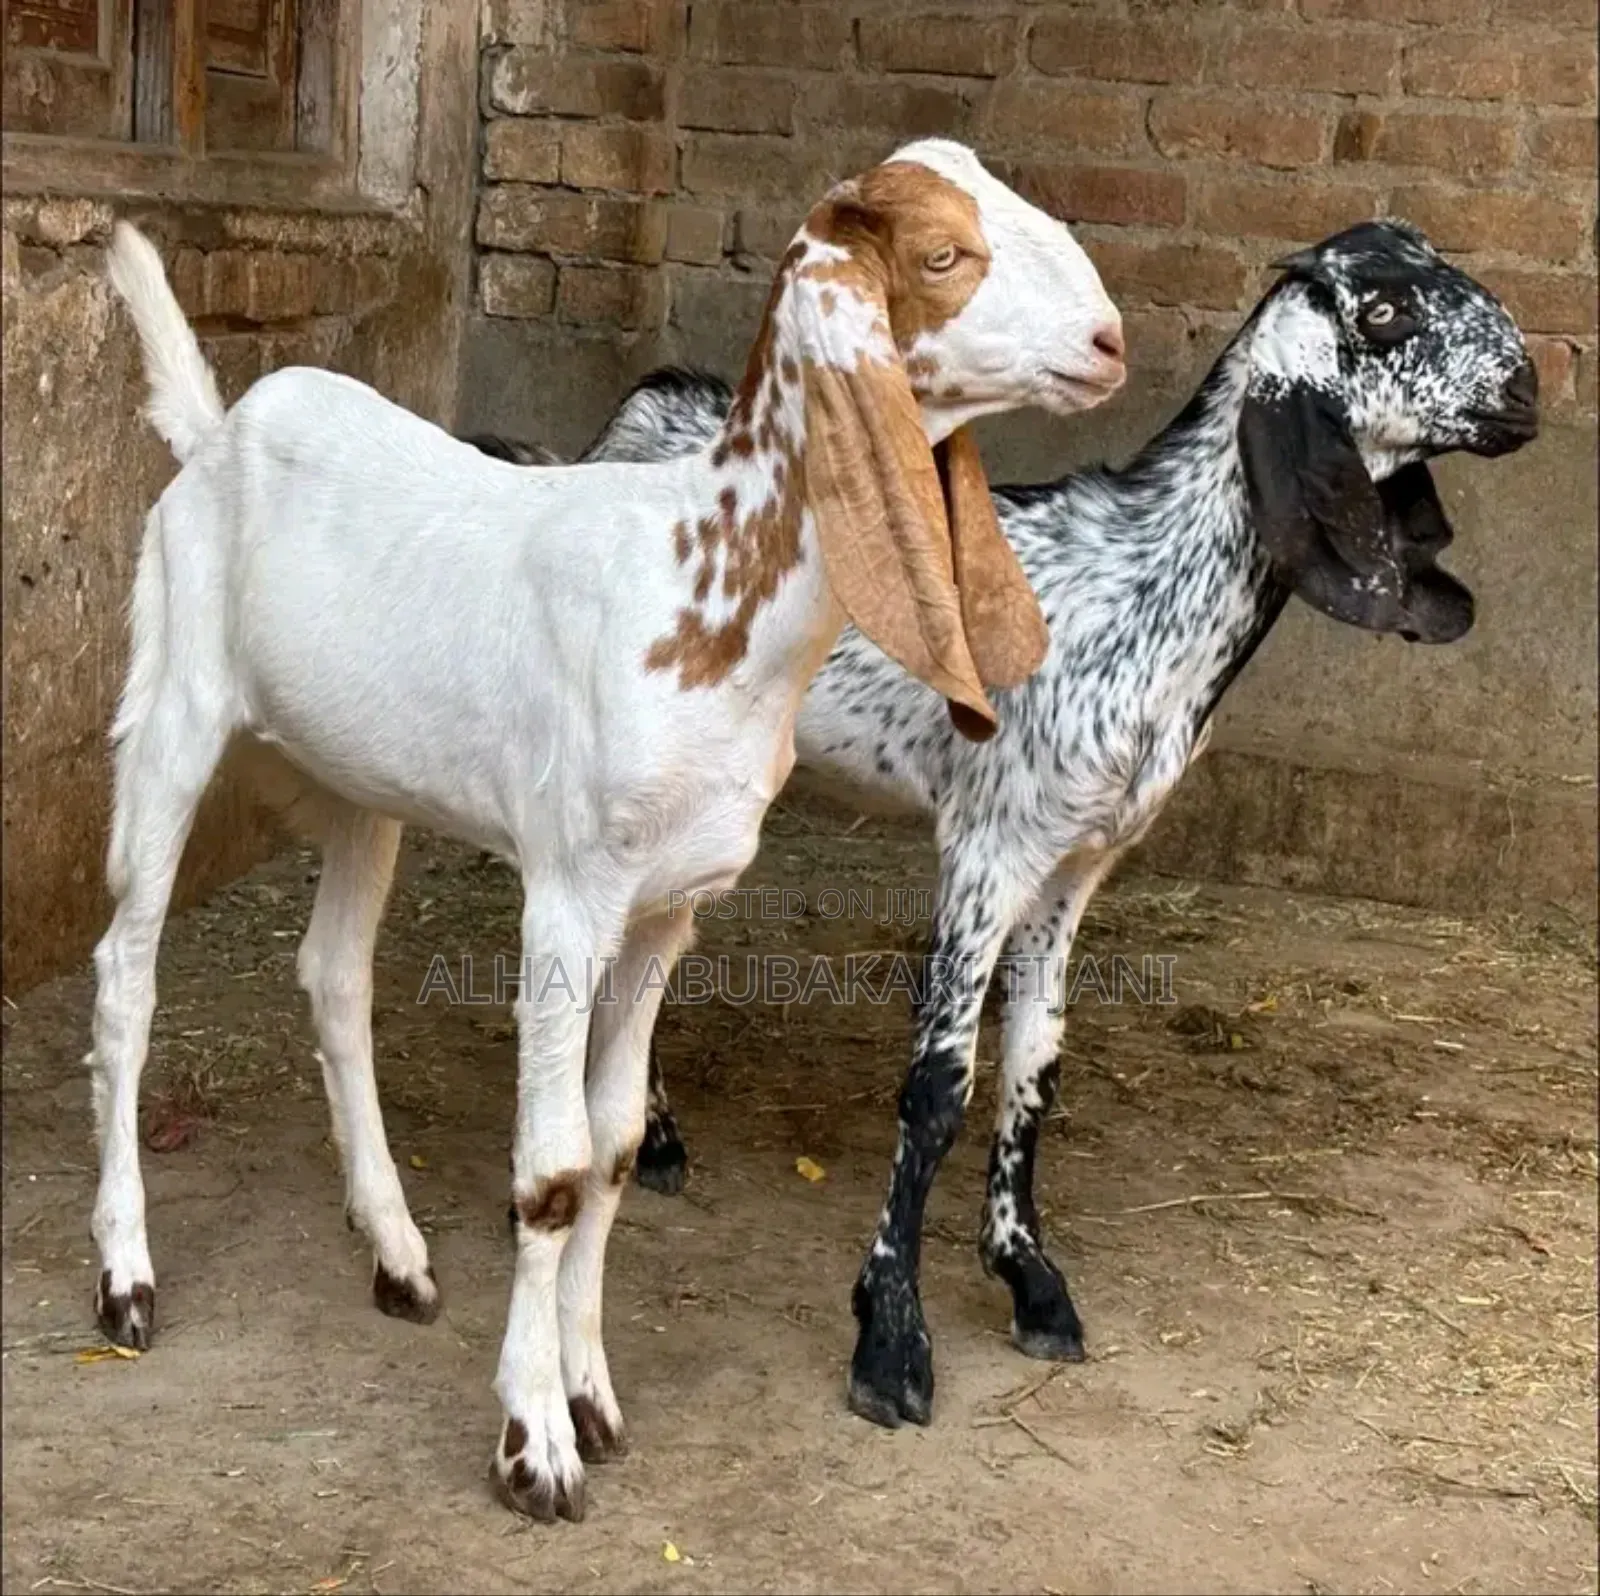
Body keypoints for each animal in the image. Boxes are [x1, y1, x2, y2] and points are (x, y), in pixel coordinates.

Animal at [91, 139, 1125, 1521]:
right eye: (945, 253)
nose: (1109, 341)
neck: (695, 580)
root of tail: (215, 433)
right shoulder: (569, 891)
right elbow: (552, 1168)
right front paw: (533, 1441)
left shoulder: (668, 906)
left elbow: (620, 1146)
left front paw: (589, 1391)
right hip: (172, 710)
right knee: (126, 973)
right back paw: (126, 1278)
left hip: (369, 784)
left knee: (332, 976)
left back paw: (397, 1252)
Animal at [471, 221, 1540, 1429]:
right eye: (1384, 312)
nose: (1528, 389)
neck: (1143, 590)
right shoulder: (990, 845)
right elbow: (939, 1084)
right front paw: (890, 1341)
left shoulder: (1077, 863)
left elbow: (1036, 1067)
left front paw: (1029, 1278)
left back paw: (653, 1137)